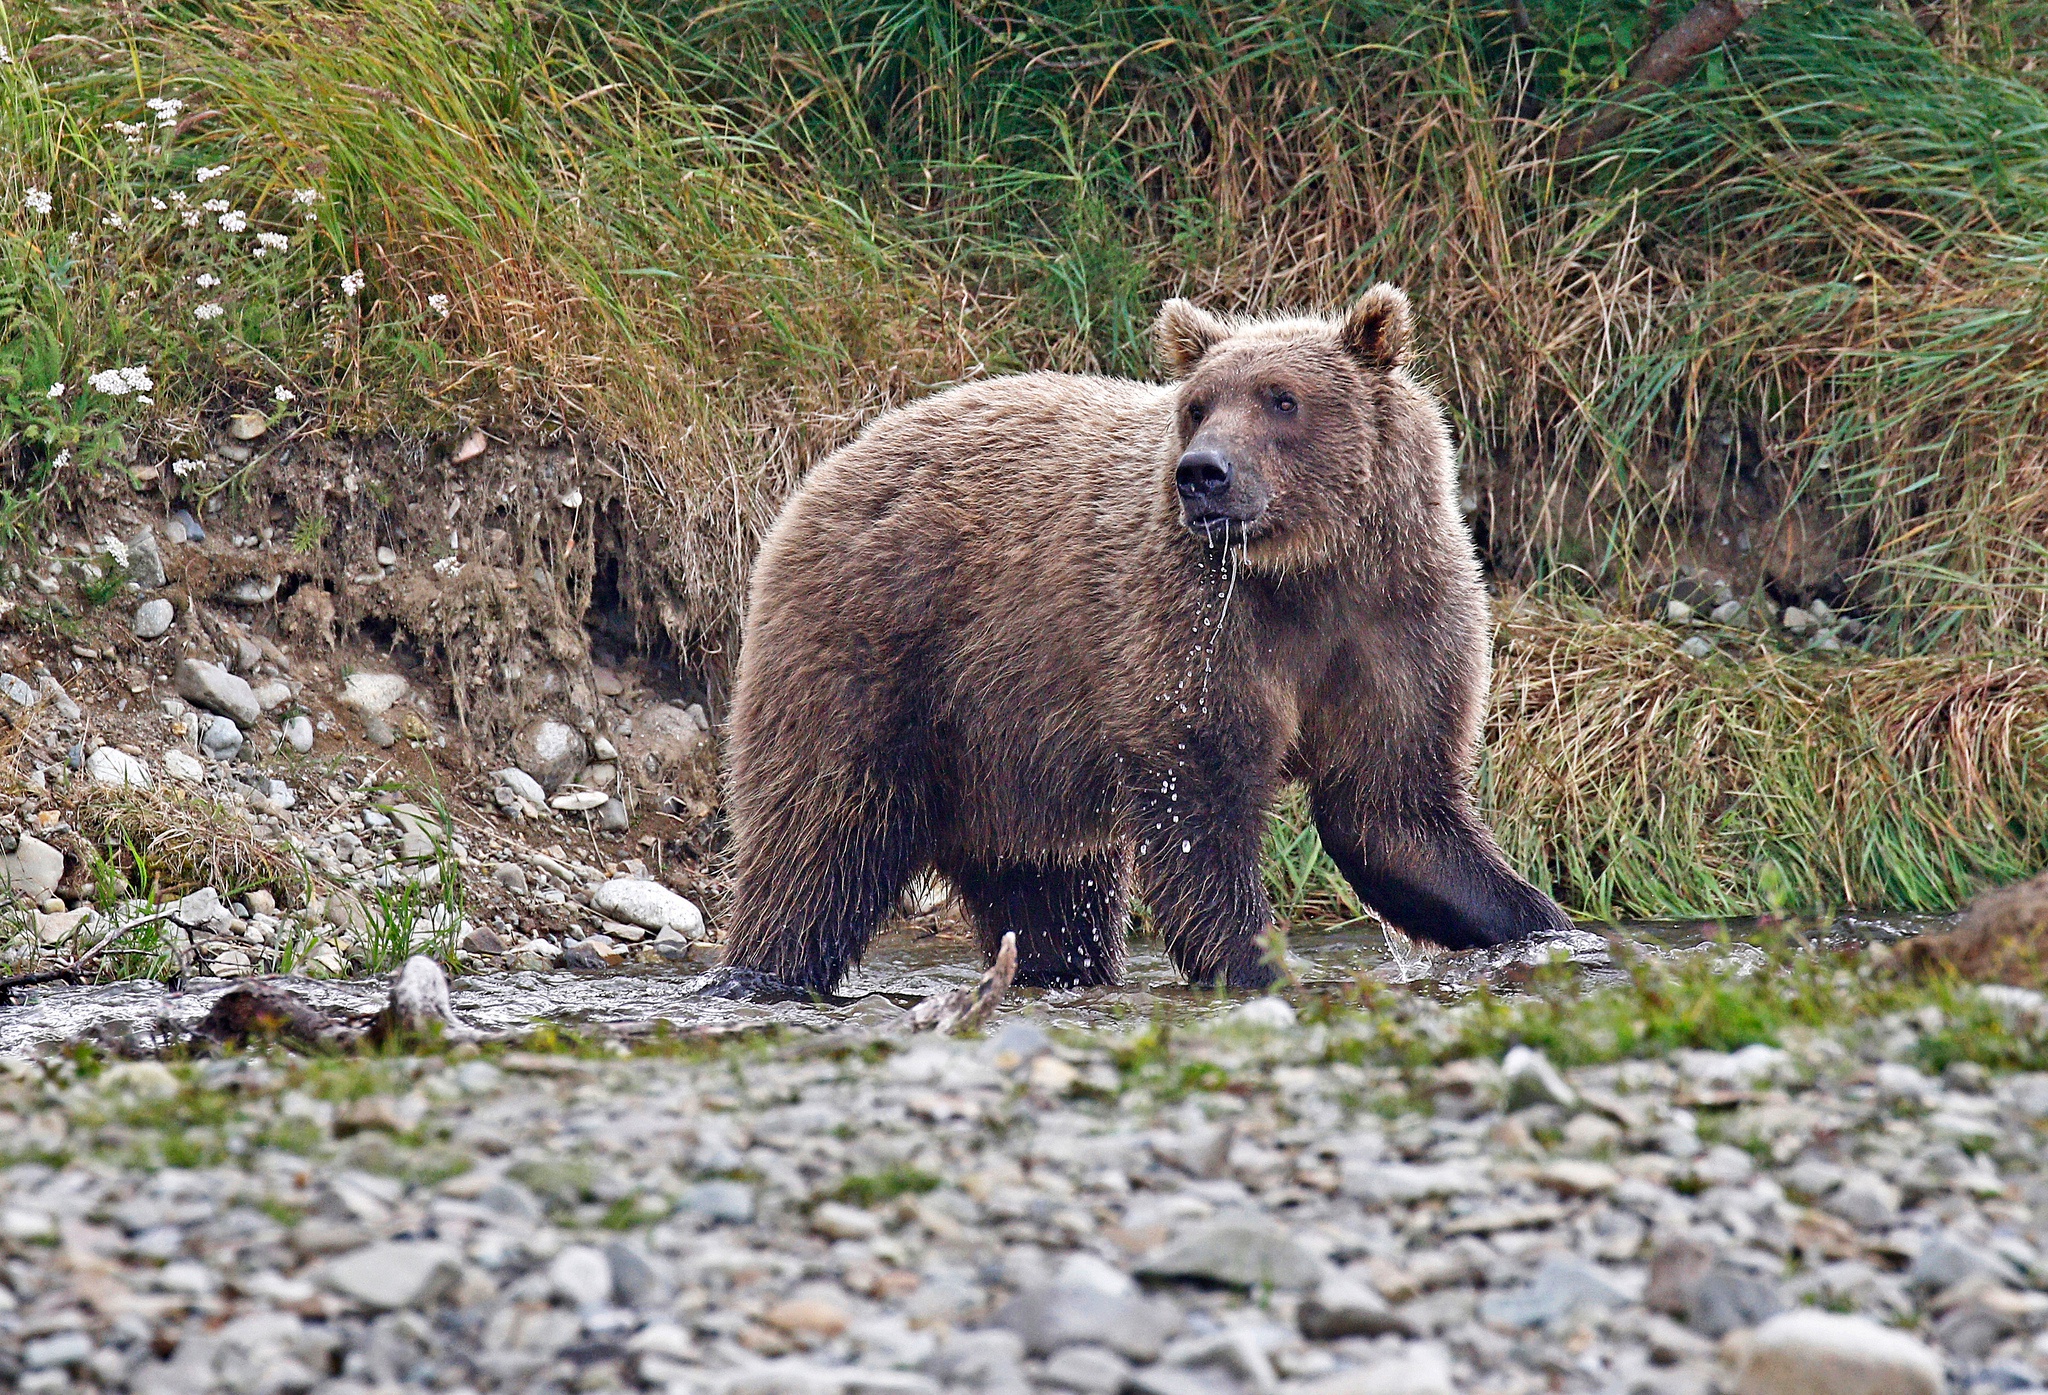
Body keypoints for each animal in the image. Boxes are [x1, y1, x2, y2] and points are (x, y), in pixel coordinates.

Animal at [704, 288, 1564, 995]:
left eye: (1282, 398)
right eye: (1198, 404)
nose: (1203, 473)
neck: (1307, 572)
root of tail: (827, 468)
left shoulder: (1396, 623)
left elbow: (1395, 807)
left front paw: (1540, 923)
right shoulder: (1199, 625)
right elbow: (1199, 804)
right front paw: (1257, 960)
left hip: (1011, 749)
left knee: (1050, 891)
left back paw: (1058, 967)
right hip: (879, 654)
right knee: (820, 840)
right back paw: (759, 972)